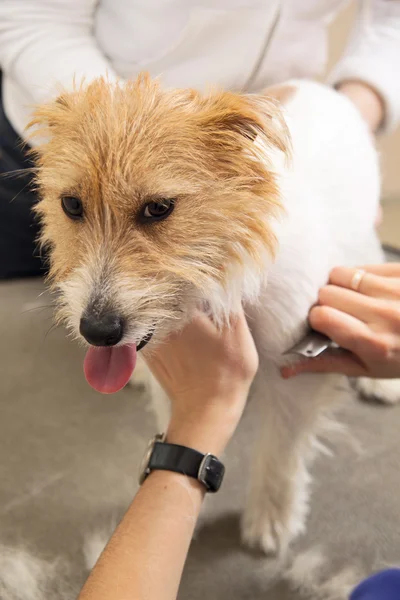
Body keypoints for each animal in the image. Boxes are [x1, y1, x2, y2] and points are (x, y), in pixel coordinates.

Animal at [30, 75, 400, 556]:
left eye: (158, 208)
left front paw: (272, 519)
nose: (97, 330)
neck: (228, 276)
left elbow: (281, 452)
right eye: (72, 205)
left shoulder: (296, 373)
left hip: (361, 243)